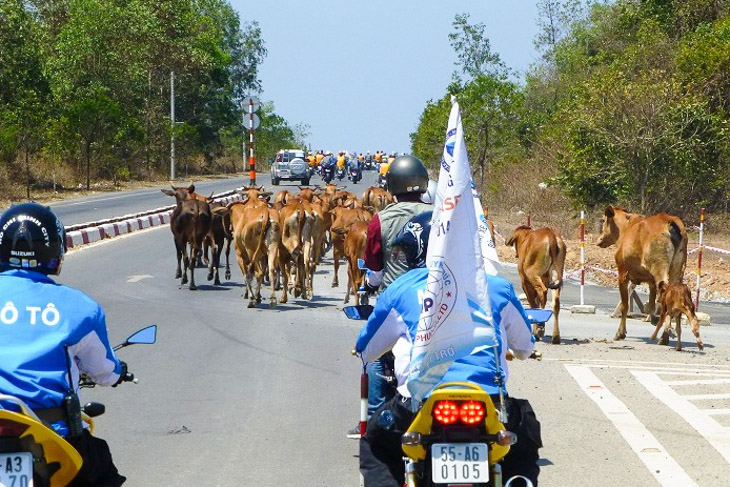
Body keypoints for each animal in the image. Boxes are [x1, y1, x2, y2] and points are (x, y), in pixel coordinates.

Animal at [596, 208, 684, 342]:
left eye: (604, 220)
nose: (599, 240)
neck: (625, 230)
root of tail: (669, 222)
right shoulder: (650, 281)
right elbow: (651, 304)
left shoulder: (623, 274)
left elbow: (625, 306)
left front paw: (620, 333)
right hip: (676, 269)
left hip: (660, 268)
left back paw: (665, 336)